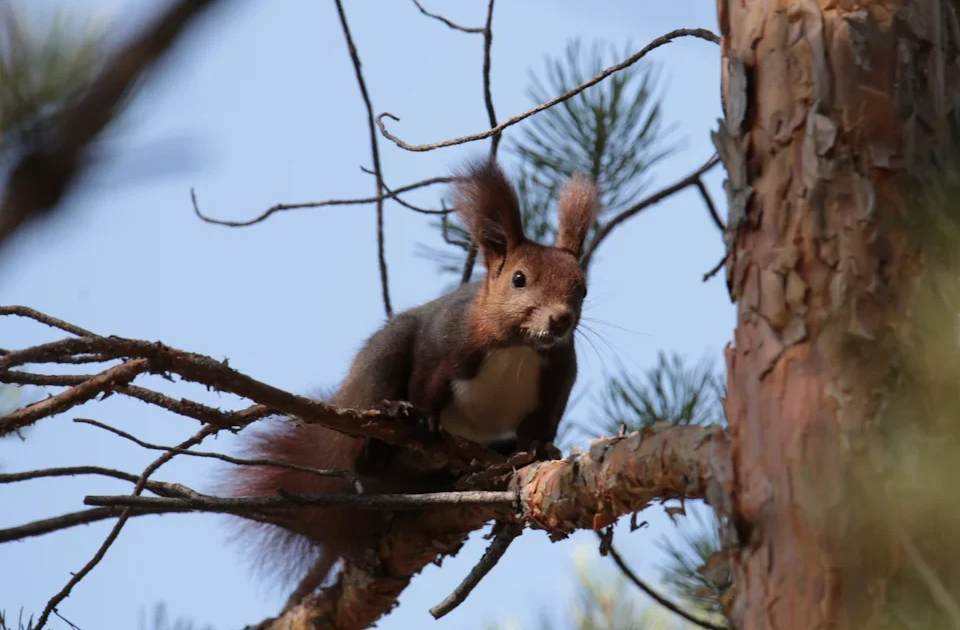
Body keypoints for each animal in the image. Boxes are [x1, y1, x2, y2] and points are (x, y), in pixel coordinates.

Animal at [223, 159, 600, 612]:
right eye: (519, 279)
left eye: (583, 288)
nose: (561, 320)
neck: (519, 347)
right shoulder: (443, 342)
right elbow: (426, 380)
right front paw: (423, 419)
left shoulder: (559, 376)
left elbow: (545, 422)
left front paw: (542, 449)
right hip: (377, 368)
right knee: (366, 451)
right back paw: (383, 438)